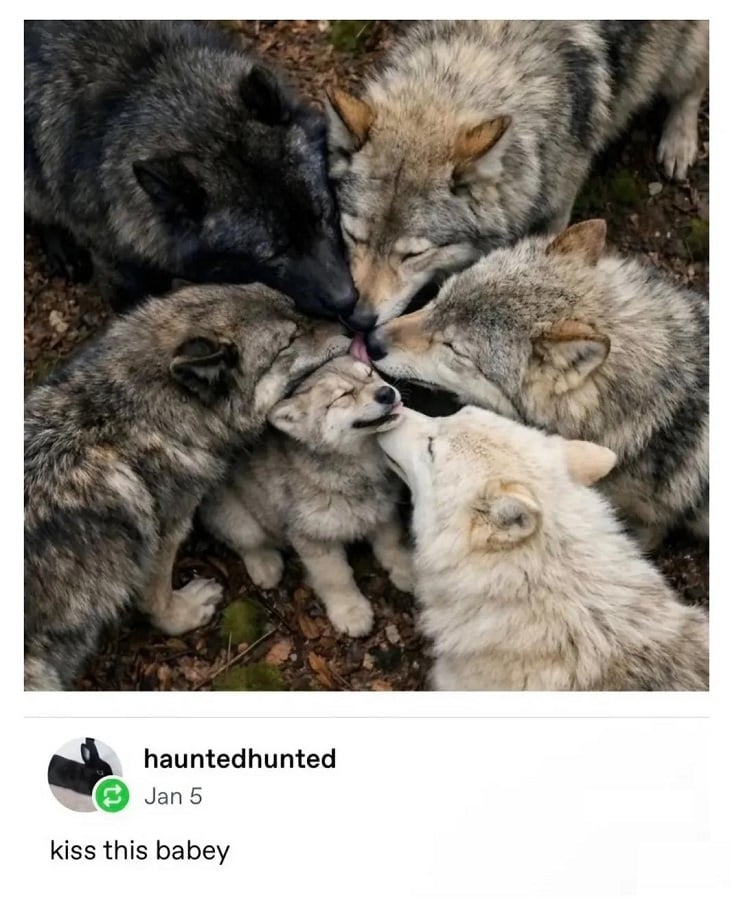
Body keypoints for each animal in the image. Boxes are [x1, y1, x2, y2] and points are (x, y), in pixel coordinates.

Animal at [25, 284, 350, 690]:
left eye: (297, 310)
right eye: (289, 341)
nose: (350, 329)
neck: (131, 413)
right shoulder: (162, 539)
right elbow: (156, 598)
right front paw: (183, 614)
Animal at [201, 356, 412, 638]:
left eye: (370, 374)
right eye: (343, 395)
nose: (386, 392)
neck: (358, 465)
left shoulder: (382, 511)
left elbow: (392, 544)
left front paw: (406, 569)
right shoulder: (313, 537)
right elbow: (336, 577)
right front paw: (350, 611)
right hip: (238, 520)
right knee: (246, 542)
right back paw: (264, 564)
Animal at [327, 20, 709, 328]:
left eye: (413, 255)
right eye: (353, 236)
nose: (359, 319)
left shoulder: (557, 209)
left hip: (682, 58)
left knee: (693, 86)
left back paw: (679, 143)